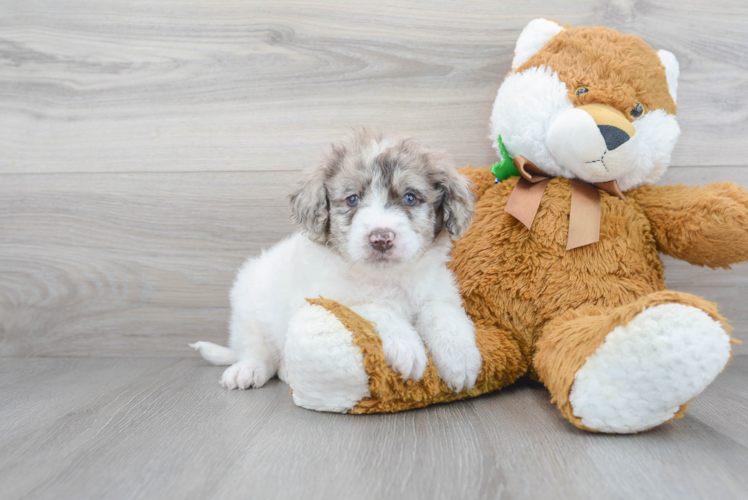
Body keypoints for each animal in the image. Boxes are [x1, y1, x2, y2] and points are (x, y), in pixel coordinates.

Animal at [193, 130, 482, 394]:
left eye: (410, 197)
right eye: (352, 199)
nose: (381, 238)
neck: (384, 277)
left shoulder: (437, 289)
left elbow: (442, 314)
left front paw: (460, 358)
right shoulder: (329, 298)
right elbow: (373, 308)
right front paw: (406, 346)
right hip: (249, 311)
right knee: (258, 352)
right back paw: (248, 369)